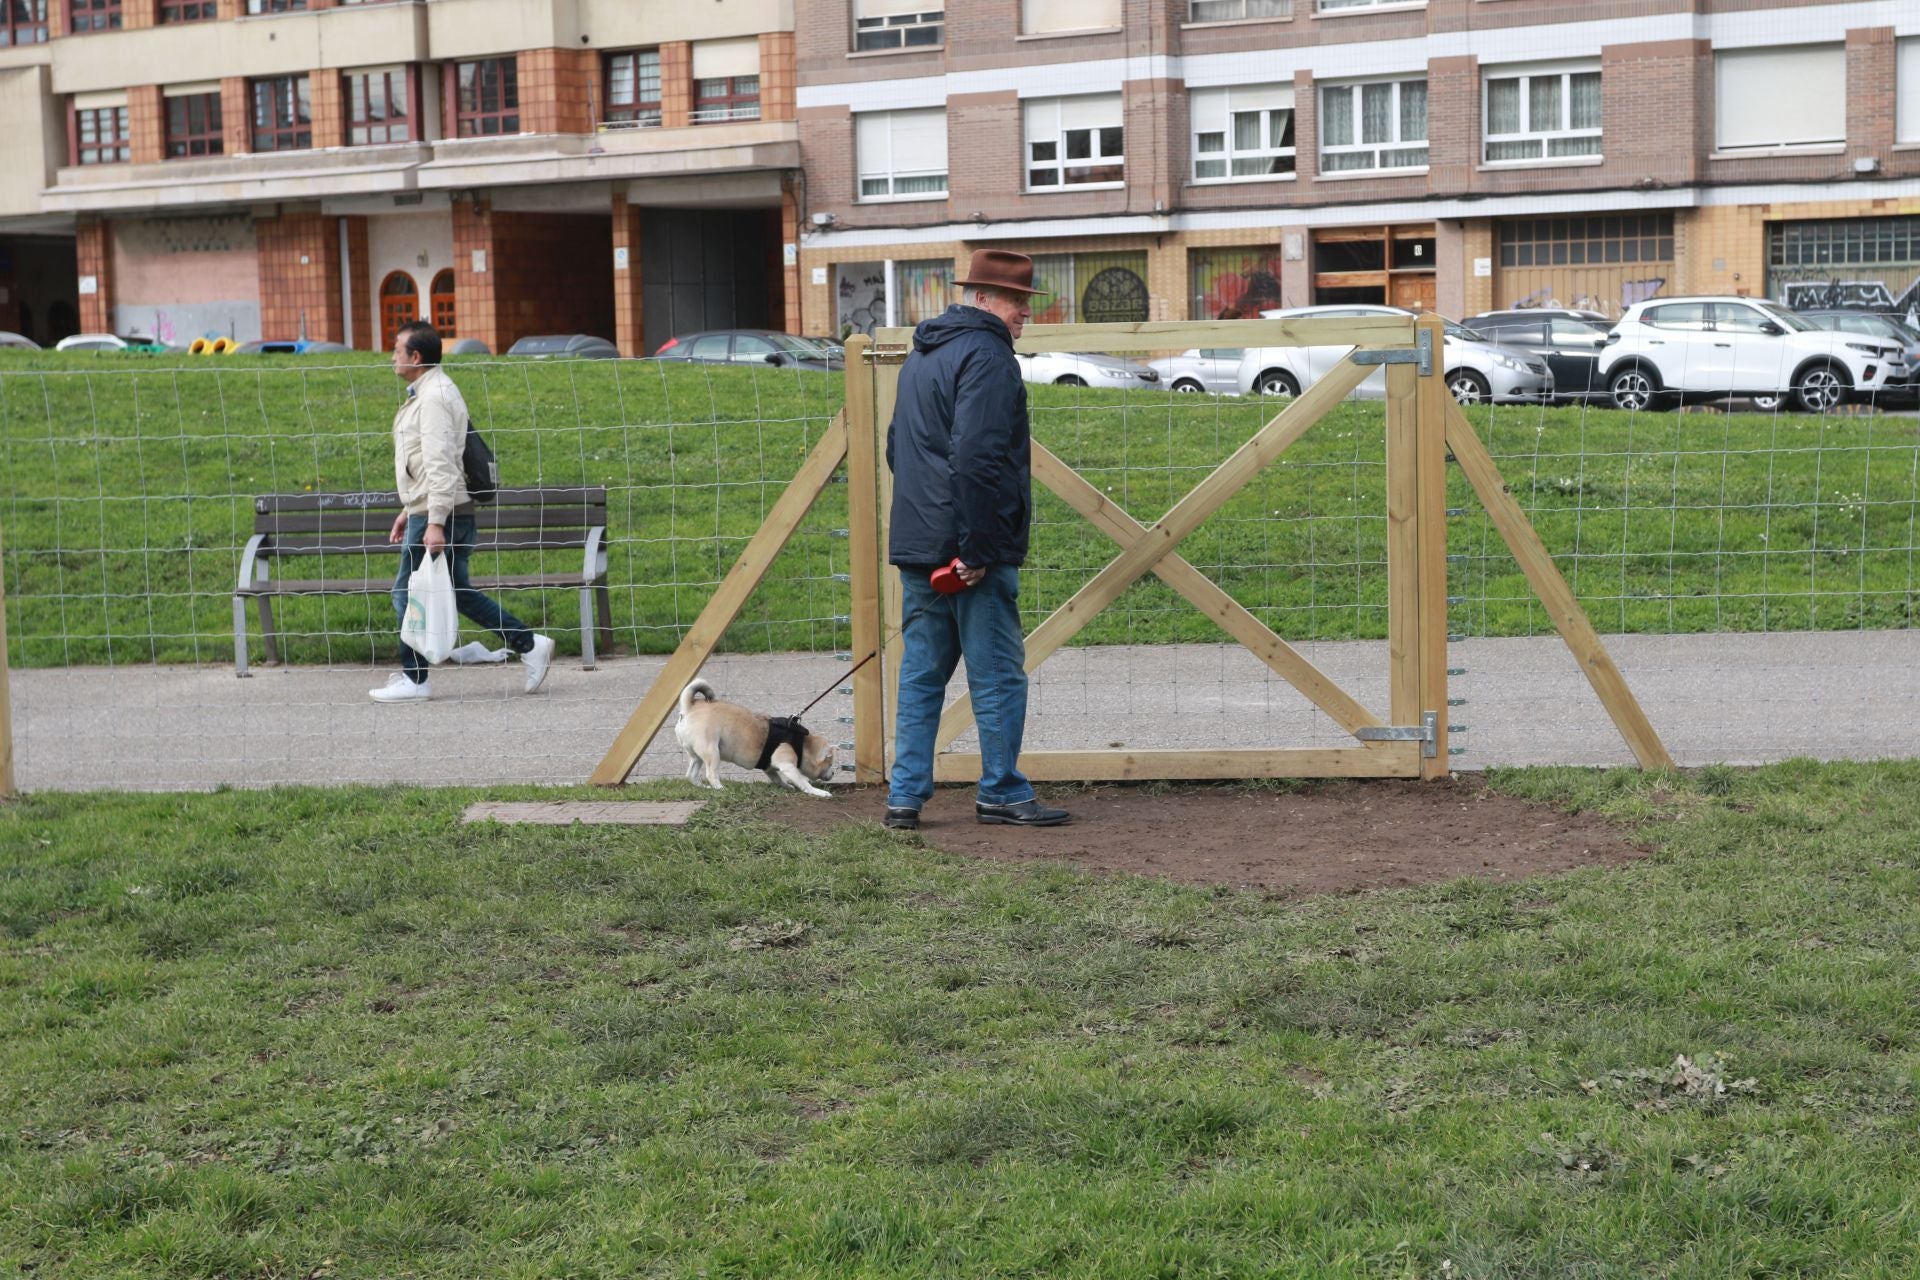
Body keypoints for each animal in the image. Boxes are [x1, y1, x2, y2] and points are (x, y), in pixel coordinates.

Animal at [675, 675, 833, 794]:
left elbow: (777, 779)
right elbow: (804, 783)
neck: (802, 745)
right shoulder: (788, 767)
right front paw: (819, 792)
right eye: (830, 764)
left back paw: (704, 788)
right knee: (711, 774)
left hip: (696, 756)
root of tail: (690, 707)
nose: (833, 774)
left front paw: (787, 786)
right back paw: (720, 788)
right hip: (712, 752)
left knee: (692, 775)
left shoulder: (770, 768)